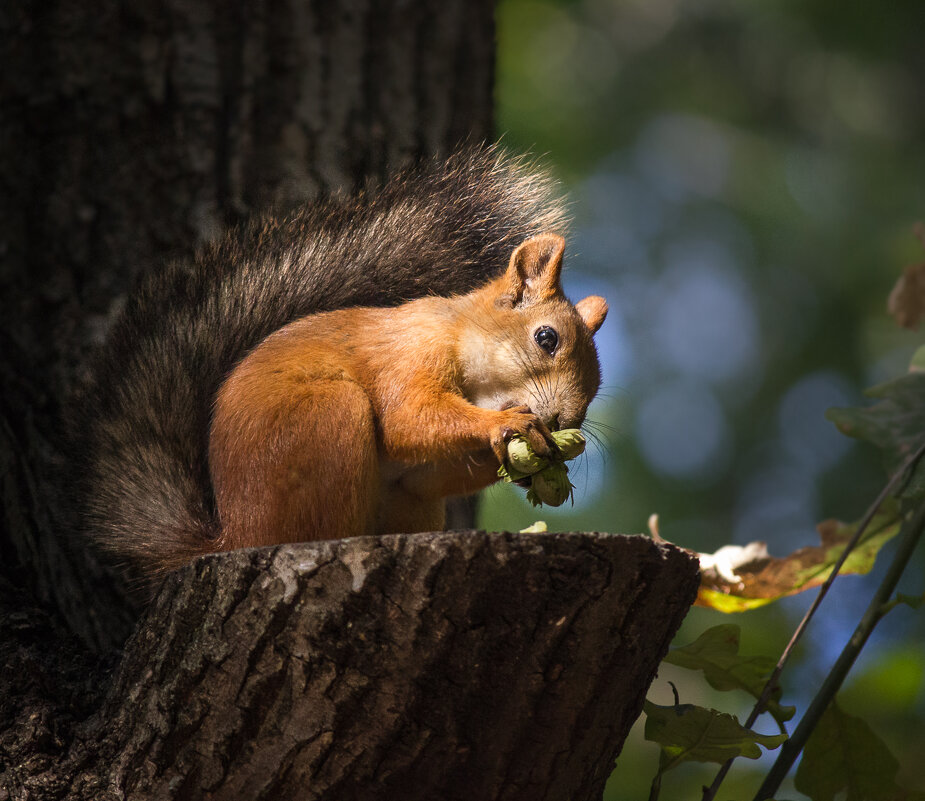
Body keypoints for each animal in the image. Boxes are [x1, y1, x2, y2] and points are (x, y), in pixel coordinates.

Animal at [72, 145, 608, 580]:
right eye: (546, 338)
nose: (567, 421)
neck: (464, 343)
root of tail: (234, 537)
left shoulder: (422, 475)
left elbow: (427, 471)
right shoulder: (409, 352)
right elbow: (407, 419)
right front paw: (505, 427)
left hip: (408, 504)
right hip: (329, 418)